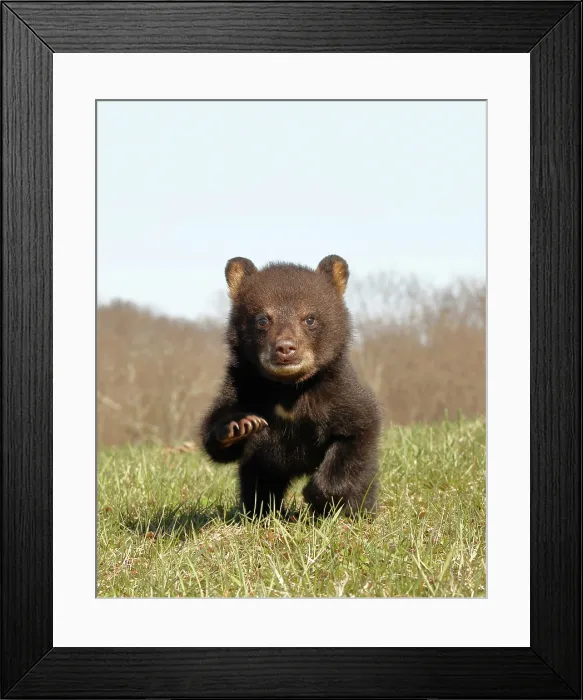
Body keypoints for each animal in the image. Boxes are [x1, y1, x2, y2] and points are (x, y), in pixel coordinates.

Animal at [199, 254, 381, 517]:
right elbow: (216, 437)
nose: (285, 348)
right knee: (257, 484)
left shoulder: (340, 395)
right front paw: (240, 425)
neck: (288, 389)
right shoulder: (242, 387)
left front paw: (317, 496)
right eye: (263, 319)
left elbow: (357, 431)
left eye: (310, 318)